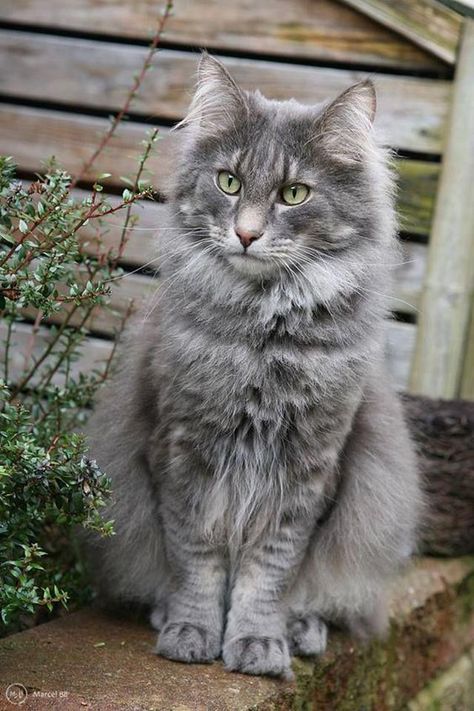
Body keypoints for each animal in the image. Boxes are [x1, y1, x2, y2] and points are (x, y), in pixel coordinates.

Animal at [86, 54, 422, 680]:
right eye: (229, 183)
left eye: (294, 193)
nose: (245, 233)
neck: (263, 340)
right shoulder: (184, 454)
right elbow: (197, 562)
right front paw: (192, 632)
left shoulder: (309, 467)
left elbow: (269, 572)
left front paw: (259, 642)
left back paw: (302, 630)